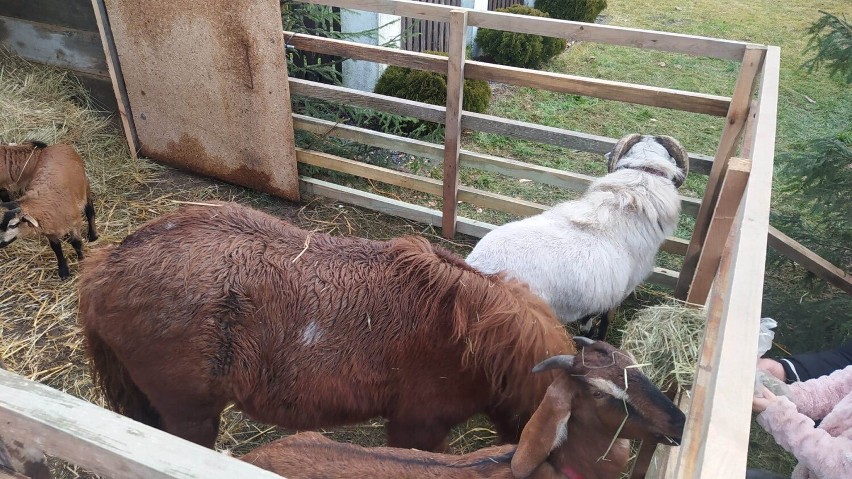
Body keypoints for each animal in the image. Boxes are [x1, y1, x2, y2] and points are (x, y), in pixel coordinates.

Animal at [1, 141, 98, 280]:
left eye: (13, 225)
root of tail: (59, 145)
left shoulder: (74, 223)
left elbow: (77, 243)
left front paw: (82, 262)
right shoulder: (50, 231)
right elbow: (56, 248)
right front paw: (63, 271)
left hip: (84, 185)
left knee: (89, 209)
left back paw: (93, 235)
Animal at [462, 133, 688, 340]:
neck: (637, 190)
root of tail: (480, 267)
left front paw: (585, 331)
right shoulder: (620, 291)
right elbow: (605, 320)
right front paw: (597, 337)